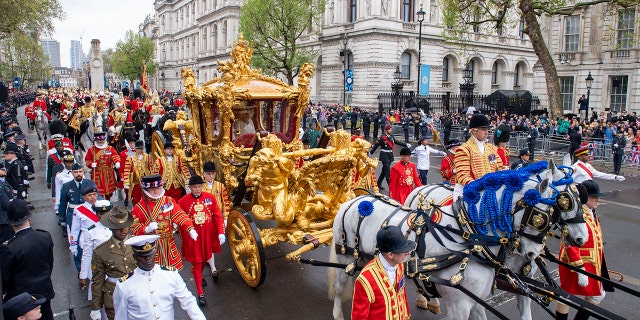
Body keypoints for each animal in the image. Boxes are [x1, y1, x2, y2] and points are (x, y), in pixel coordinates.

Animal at [330, 161, 576, 320]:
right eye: (540, 216)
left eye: (558, 207)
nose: (533, 253)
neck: (469, 241)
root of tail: (356, 199)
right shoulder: (460, 304)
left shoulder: (478, 299)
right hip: (346, 259)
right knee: (339, 285)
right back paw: (339, 313)